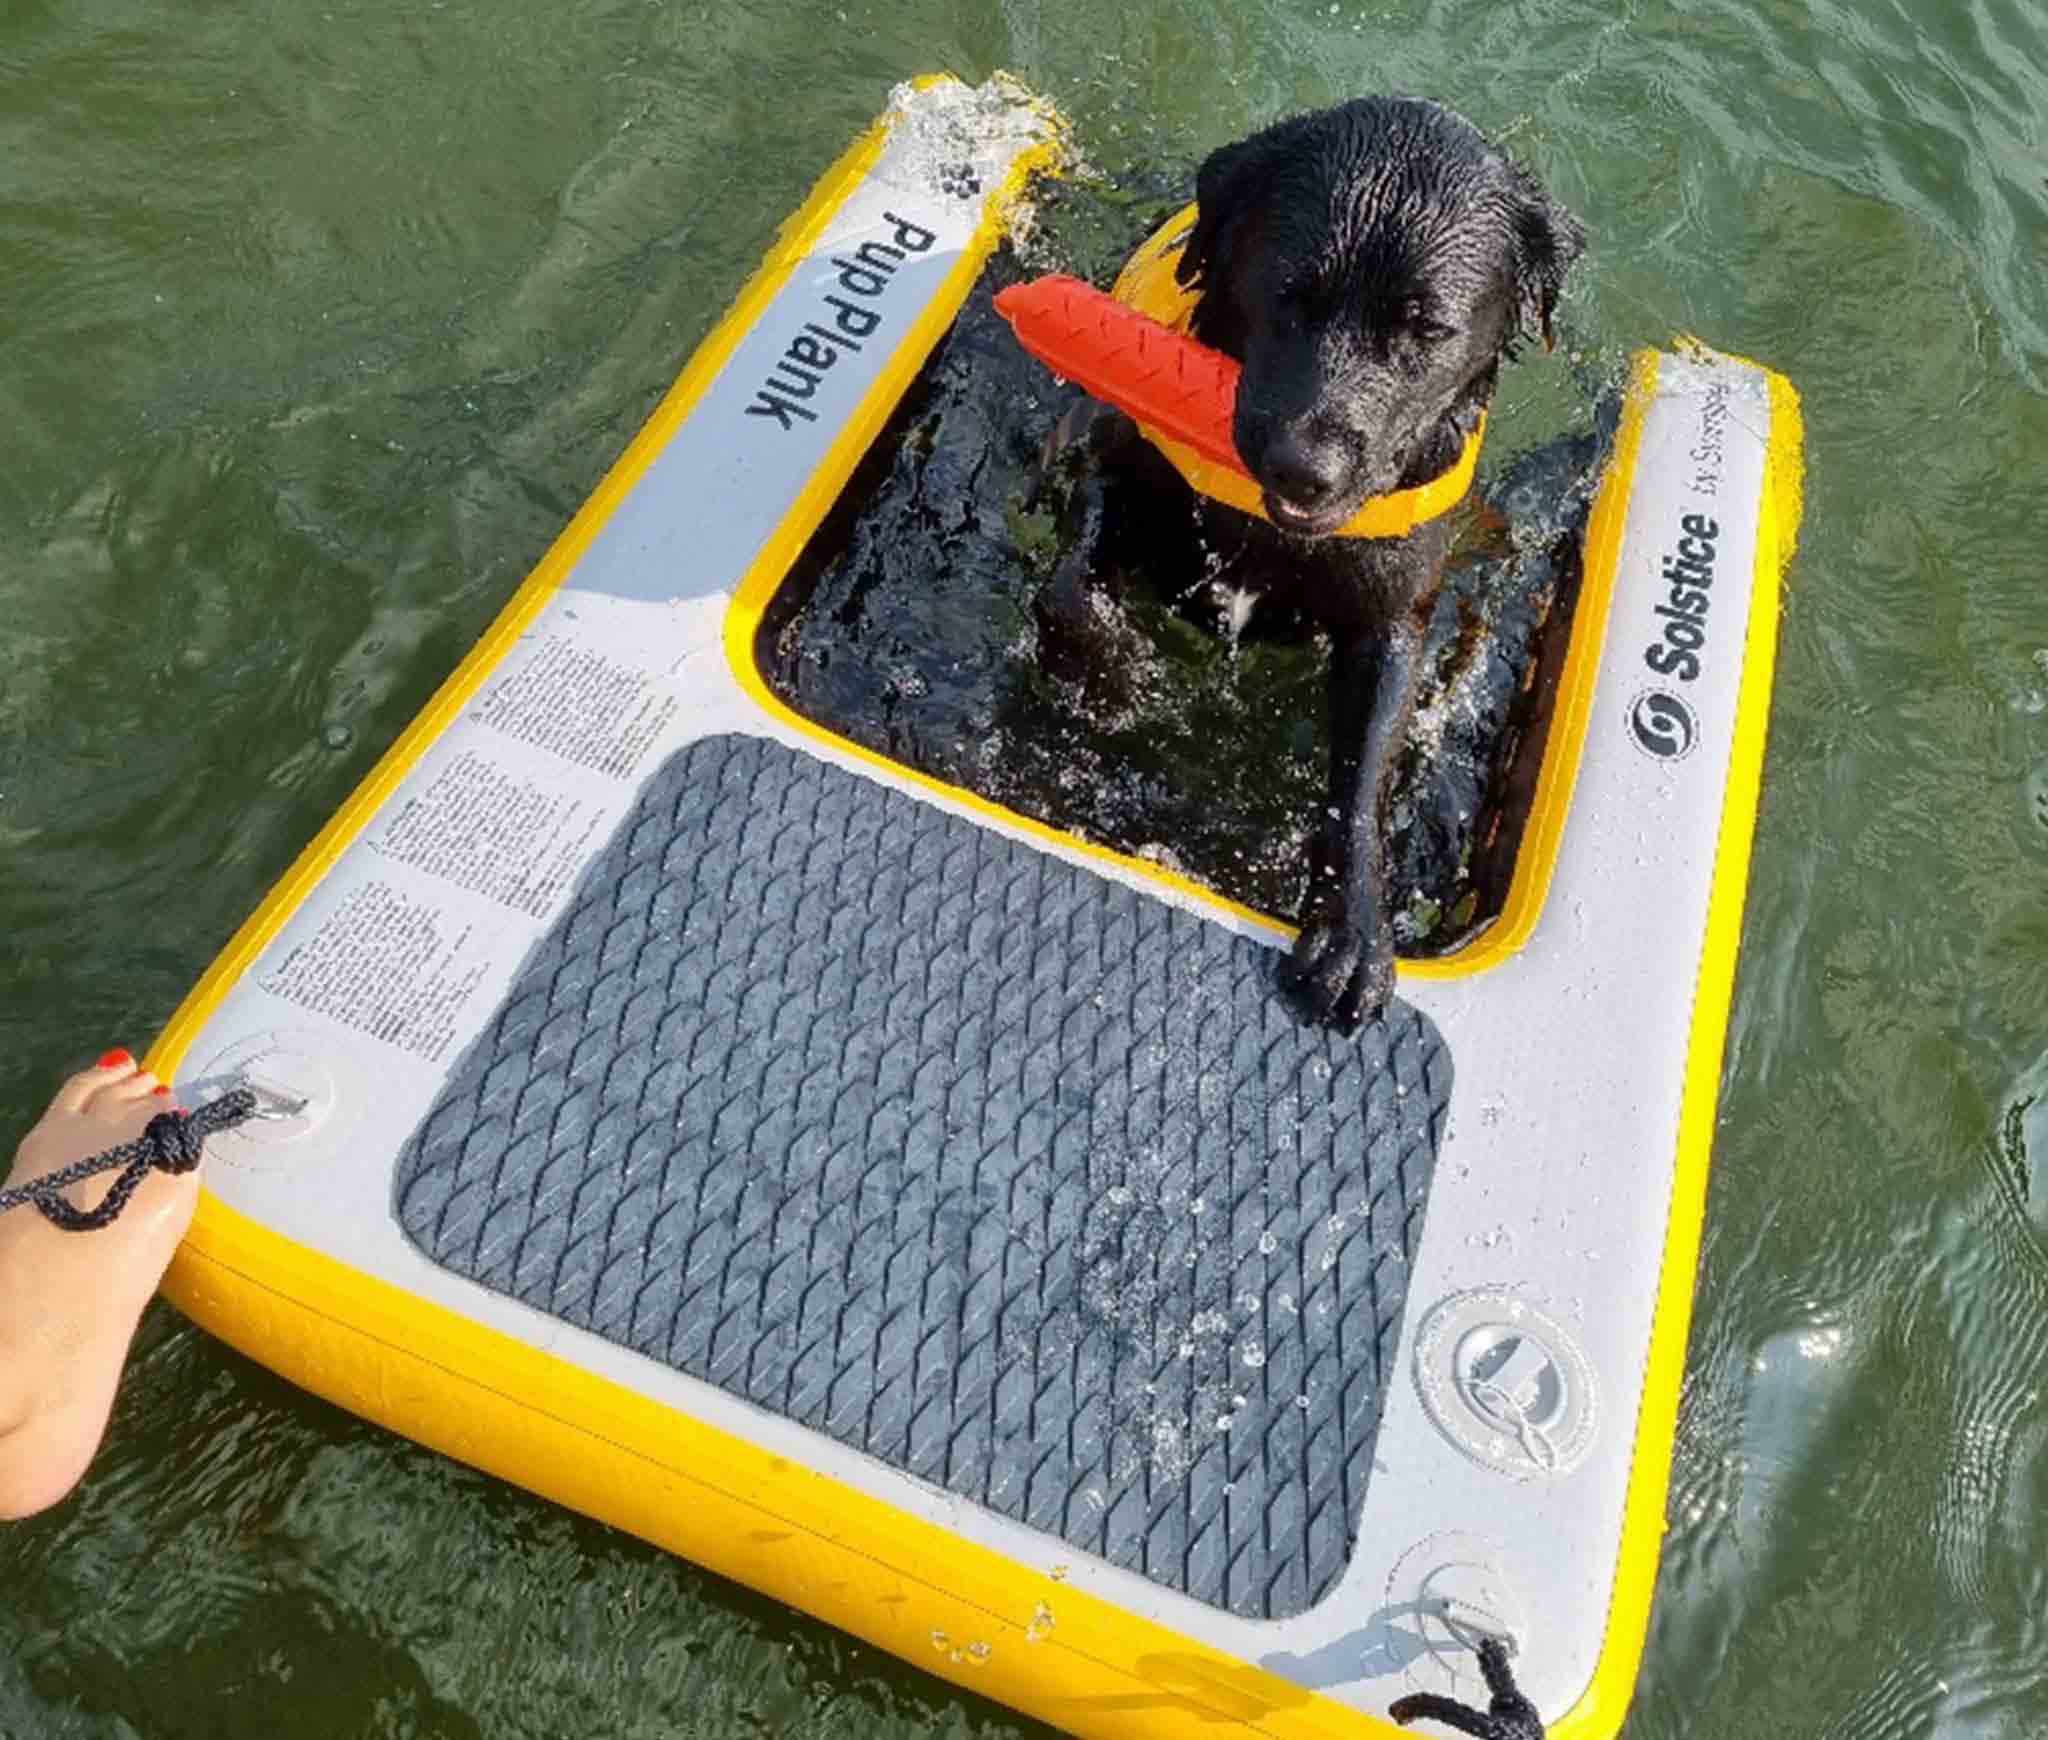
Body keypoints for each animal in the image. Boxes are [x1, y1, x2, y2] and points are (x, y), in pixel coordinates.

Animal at [1040, 95, 1581, 1031]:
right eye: (1290, 295)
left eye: (1425, 328)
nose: (1305, 468)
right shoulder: (1109, 463)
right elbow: (1073, 594)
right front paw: (1112, 677)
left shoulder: (1392, 621)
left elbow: (1362, 776)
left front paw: (1352, 931)